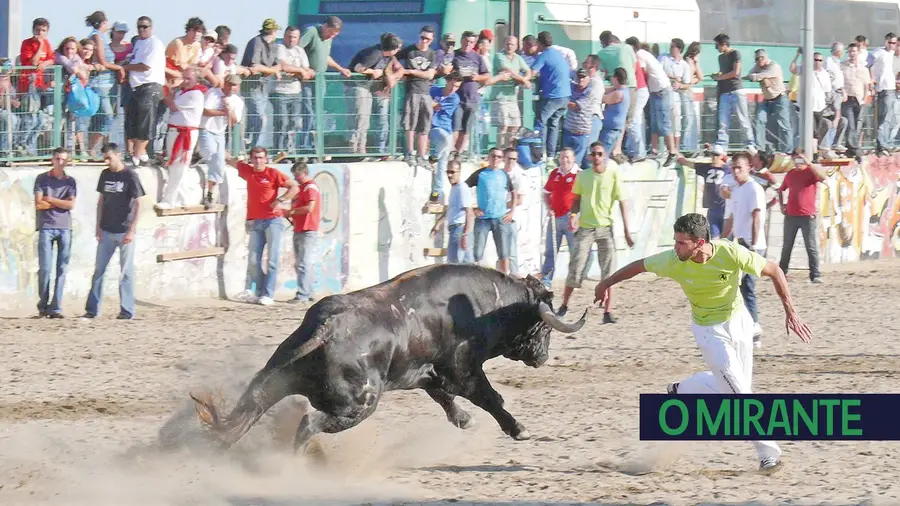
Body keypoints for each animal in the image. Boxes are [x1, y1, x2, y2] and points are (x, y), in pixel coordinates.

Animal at [191, 262, 588, 448]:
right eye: (544, 327)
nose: (542, 356)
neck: (483, 305)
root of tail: (329, 328)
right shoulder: (463, 368)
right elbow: (489, 397)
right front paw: (518, 429)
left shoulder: (428, 372)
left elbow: (445, 398)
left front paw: (464, 420)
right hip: (358, 406)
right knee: (308, 424)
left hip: (276, 378)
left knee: (247, 411)